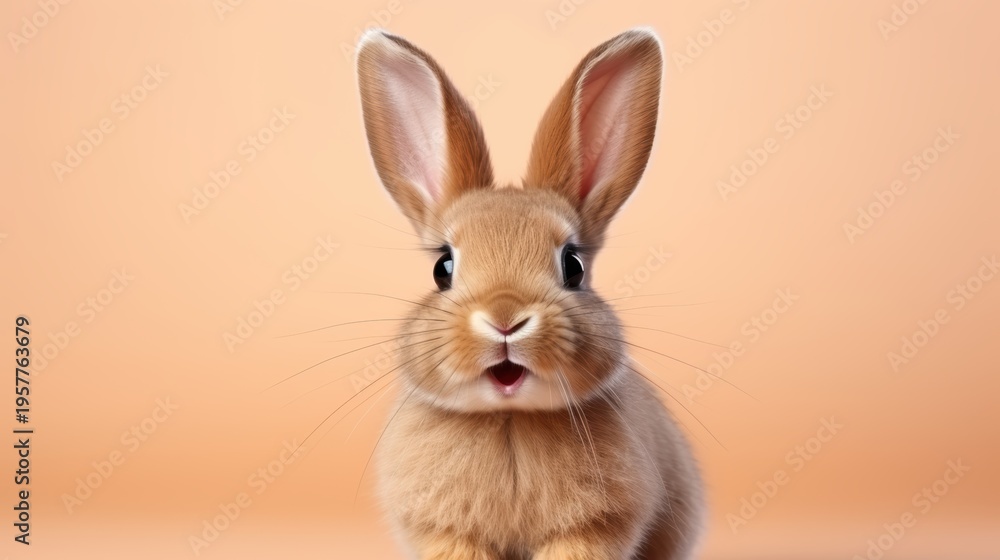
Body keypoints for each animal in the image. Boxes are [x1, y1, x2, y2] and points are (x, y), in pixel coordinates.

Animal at [354, 27, 705, 560]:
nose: (505, 318)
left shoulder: (593, 529)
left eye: (573, 266)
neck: (511, 420)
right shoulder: (446, 533)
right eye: (442, 267)